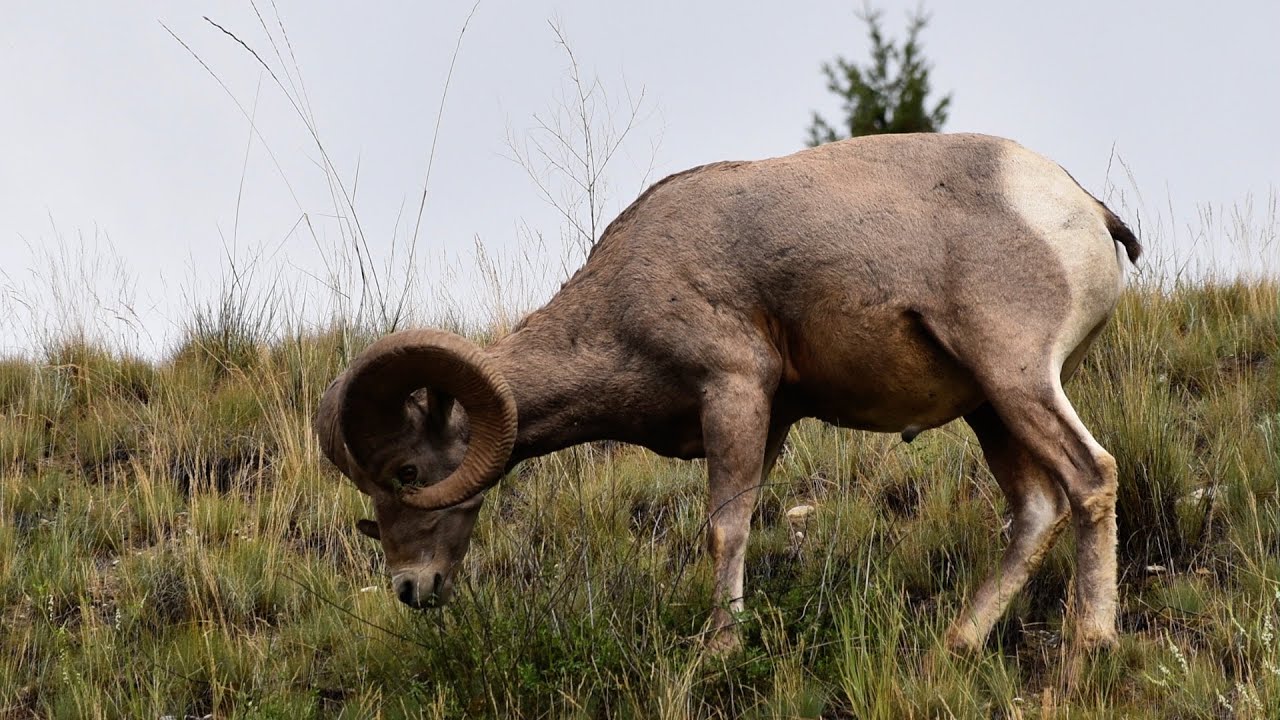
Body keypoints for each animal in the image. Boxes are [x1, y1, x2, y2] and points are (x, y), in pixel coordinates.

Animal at [315, 132, 1140, 653]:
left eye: (407, 473)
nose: (410, 588)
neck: (623, 299)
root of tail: (1082, 210)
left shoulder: (734, 392)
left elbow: (724, 529)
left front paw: (717, 648)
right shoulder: (766, 420)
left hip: (1017, 378)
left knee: (1091, 477)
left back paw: (1090, 642)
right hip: (988, 411)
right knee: (1035, 511)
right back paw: (955, 645)